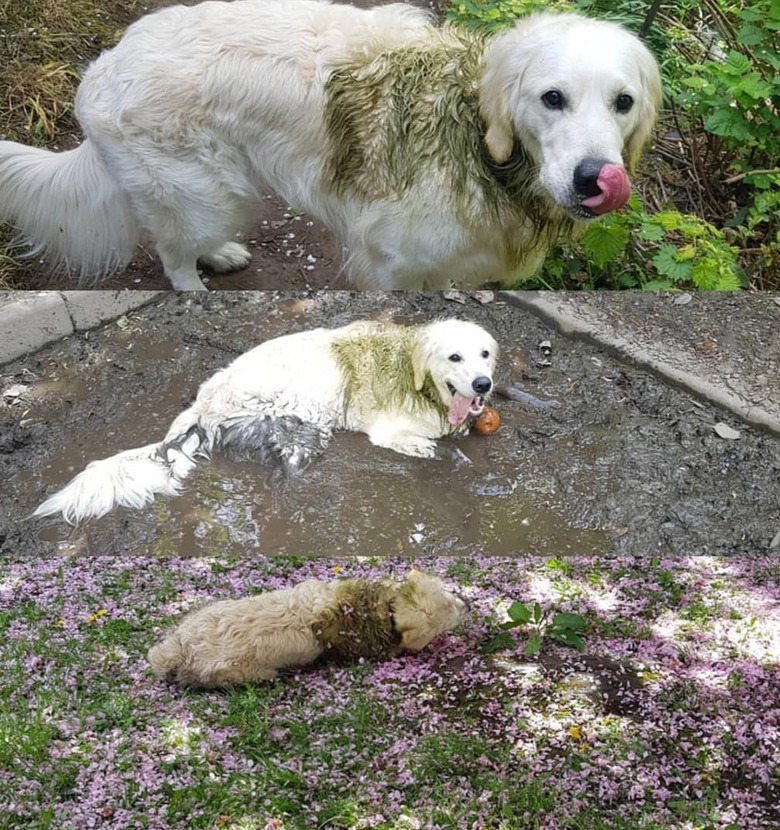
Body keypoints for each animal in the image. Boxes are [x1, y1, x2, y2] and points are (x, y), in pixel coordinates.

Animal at [0, 0, 660, 290]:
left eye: (623, 102)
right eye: (552, 98)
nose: (594, 179)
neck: (473, 132)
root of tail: (104, 65)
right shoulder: (393, 264)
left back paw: (221, 255)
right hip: (199, 190)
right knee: (172, 256)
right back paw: (198, 286)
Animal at [33, 320, 496, 528]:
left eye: (485, 354)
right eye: (454, 357)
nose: (484, 384)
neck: (419, 378)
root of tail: (202, 403)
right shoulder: (388, 431)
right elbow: (429, 445)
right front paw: (443, 454)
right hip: (301, 424)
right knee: (285, 470)